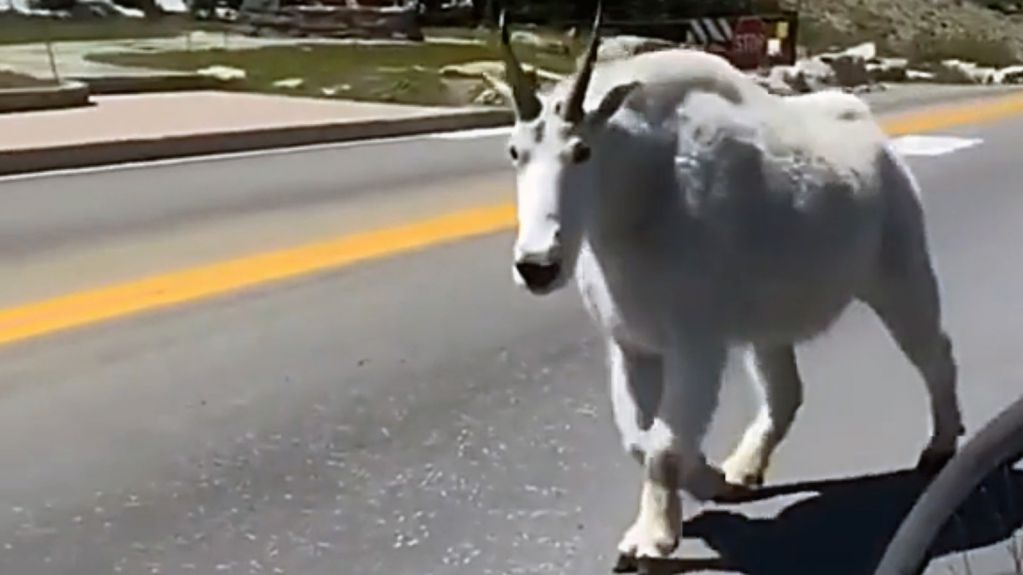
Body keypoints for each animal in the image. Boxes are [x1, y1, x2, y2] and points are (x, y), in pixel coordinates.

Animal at [493, 7, 965, 569]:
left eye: (582, 150)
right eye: (514, 151)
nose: (537, 265)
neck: (635, 201)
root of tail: (876, 137)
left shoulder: (697, 340)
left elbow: (662, 444)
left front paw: (650, 541)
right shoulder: (631, 343)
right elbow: (640, 438)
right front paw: (709, 482)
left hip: (898, 268)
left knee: (933, 350)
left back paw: (941, 445)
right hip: (770, 322)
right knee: (785, 391)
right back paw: (742, 469)